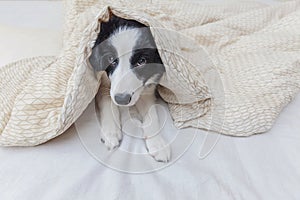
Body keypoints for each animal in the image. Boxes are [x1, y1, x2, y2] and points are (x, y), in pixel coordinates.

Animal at [88, 15, 171, 162]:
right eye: (110, 58)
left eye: (142, 61)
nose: (122, 100)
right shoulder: (102, 80)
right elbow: (107, 99)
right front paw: (111, 132)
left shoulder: (146, 89)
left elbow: (152, 115)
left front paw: (158, 144)